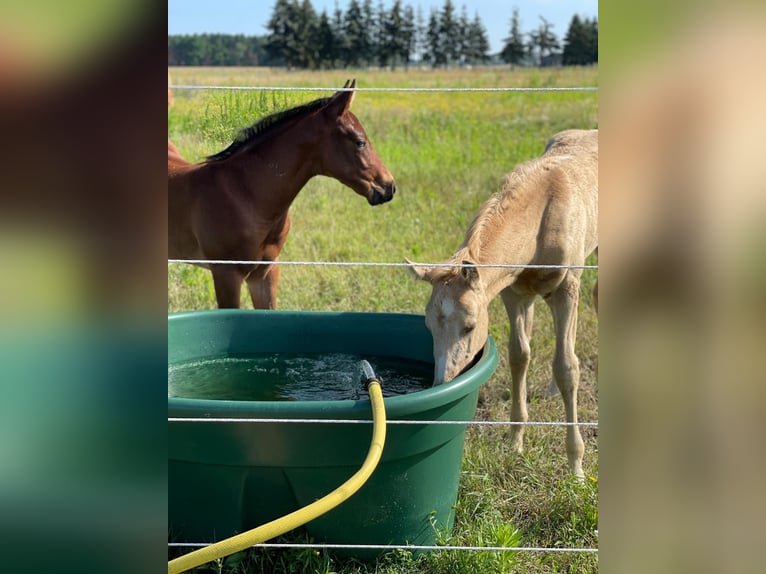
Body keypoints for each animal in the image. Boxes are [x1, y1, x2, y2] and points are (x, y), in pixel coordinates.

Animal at [408, 129, 600, 476]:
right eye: (428, 326)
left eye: (469, 326)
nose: (441, 380)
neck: (541, 216)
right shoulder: (516, 294)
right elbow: (519, 355)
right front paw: (515, 444)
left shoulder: (566, 288)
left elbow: (568, 366)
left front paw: (576, 468)